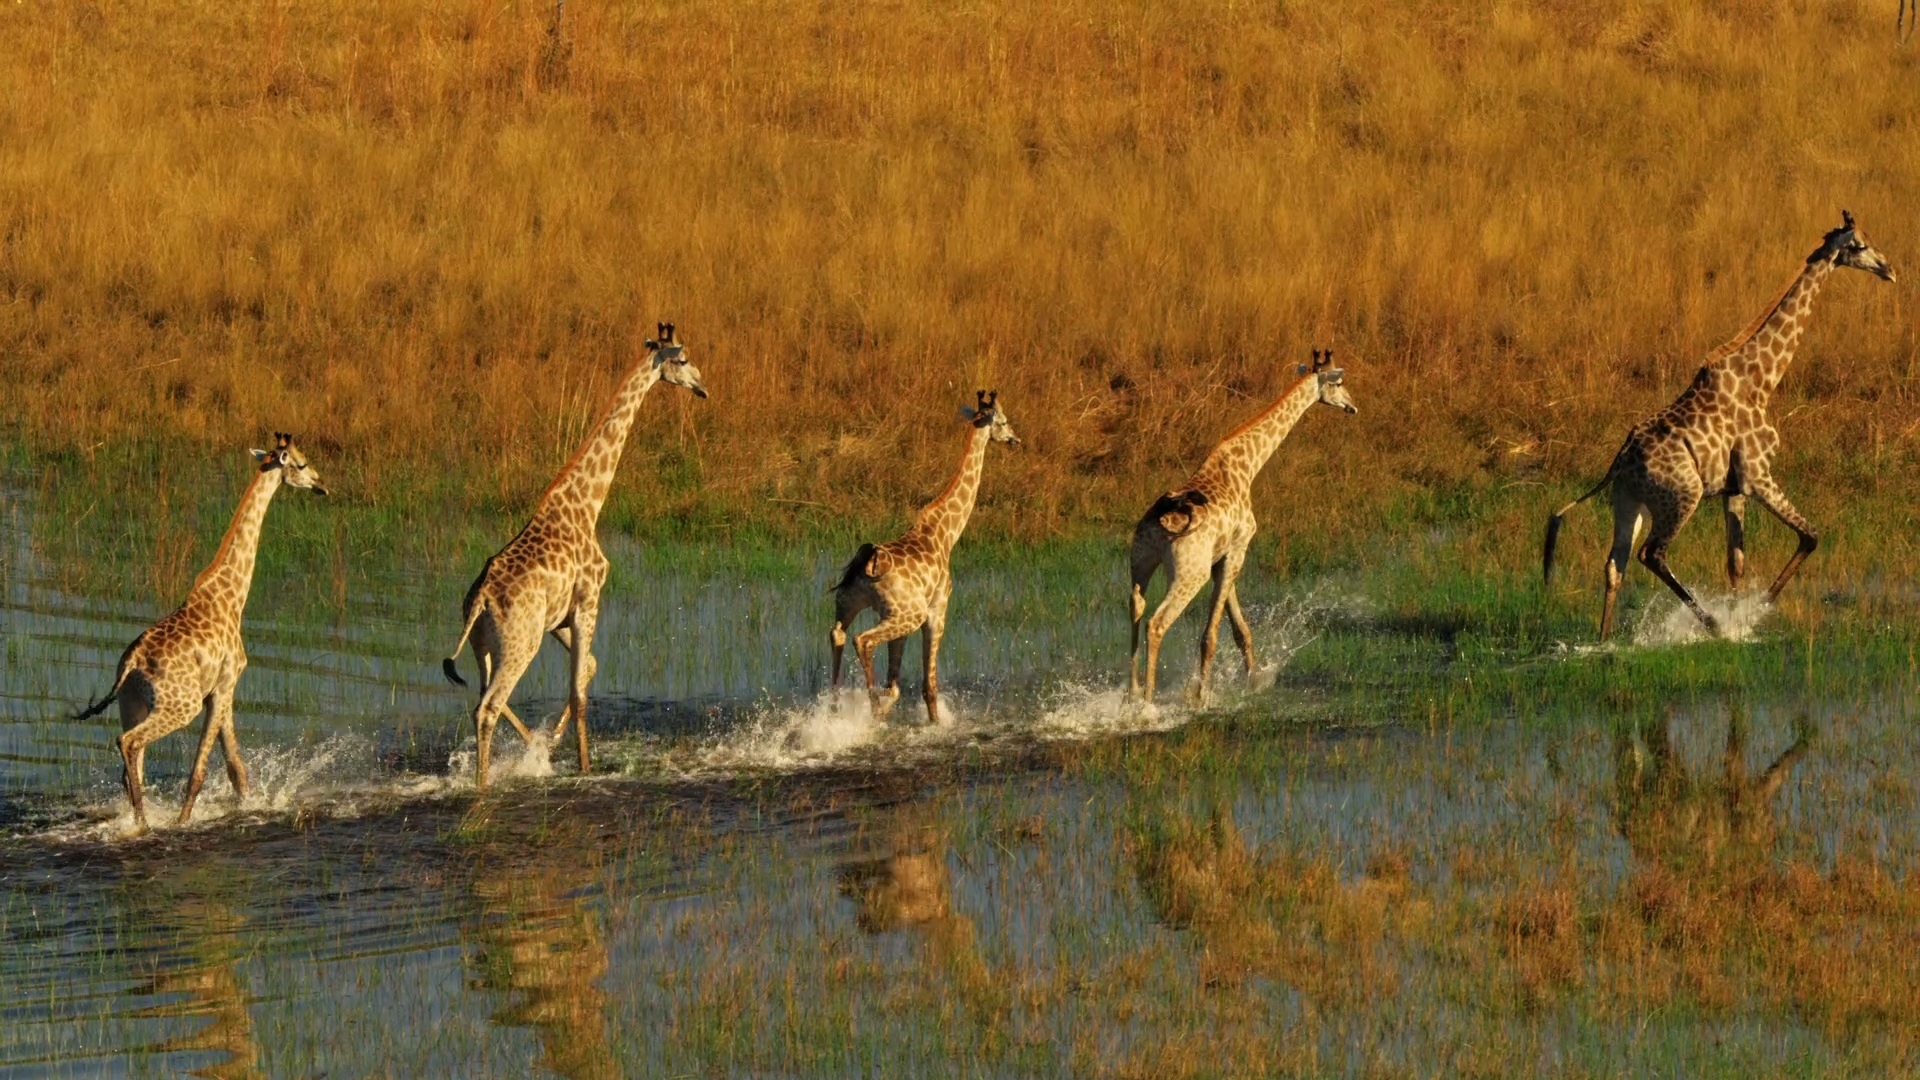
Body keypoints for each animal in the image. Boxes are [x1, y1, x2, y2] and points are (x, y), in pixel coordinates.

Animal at [73, 432, 330, 826]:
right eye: (301, 463)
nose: (320, 484)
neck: (232, 594)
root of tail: (131, 662)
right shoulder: (224, 686)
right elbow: (200, 773)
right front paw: (183, 823)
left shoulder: (220, 691)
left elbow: (236, 769)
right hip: (180, 705)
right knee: (128, 743)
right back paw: (144, 825)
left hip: (131, 703)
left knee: (132, 765)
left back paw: (139, 820)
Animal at [441, 319, 706, 780]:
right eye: (684, 358)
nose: (701, 385)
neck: (586, 503)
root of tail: (480, 600)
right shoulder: (588, 601)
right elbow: (581, 694)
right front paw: (583, 766)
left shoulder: (560, 618)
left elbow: (589, 670)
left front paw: (549, 746)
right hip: (520, 642)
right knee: (488, 707)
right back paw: (484, 784)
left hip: (482, 645)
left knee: (483, 699)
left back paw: (526, 749)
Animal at [833, 388, 1029, 722]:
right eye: (1003, 421)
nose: (1015, 439)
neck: (946, 533)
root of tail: (868, 562)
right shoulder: (937, 610)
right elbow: (929, 687)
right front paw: (933, 723)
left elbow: (896, 685)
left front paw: (886, 705)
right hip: (907, 614)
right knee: (863, 640)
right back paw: (870, 706)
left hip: (851, 604)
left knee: (838, 635)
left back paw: (834, 703)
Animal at [1121, 345, 1367, 707]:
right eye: (1339, 382)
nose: (1352, 406)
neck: (1247, 465)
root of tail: (1162, 522)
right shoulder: (1239, 549)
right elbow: (1211, 634)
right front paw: (1201, 697)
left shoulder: (1222, 558)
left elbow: (1240, 630)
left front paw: (1254, 681)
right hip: (1187, 573)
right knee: (1158, 622)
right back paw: (1149, 704)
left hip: (1140, 561)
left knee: (1136, 607)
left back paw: (1132, 693)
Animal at [1536, 205, 1896, 634]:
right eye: (1859, 245)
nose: (1889, 270)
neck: (1761, 379)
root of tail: (1619, 463)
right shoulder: (1758, 476)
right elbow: (1810, 536)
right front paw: (1749, 615)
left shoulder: (1733, 488)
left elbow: (1736, 561)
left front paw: (1740, 618)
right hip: (1681, 498)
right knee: (1651, 554)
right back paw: (1710, 623)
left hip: (1628, 503)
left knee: (1614, 565)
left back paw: (1606, 639)